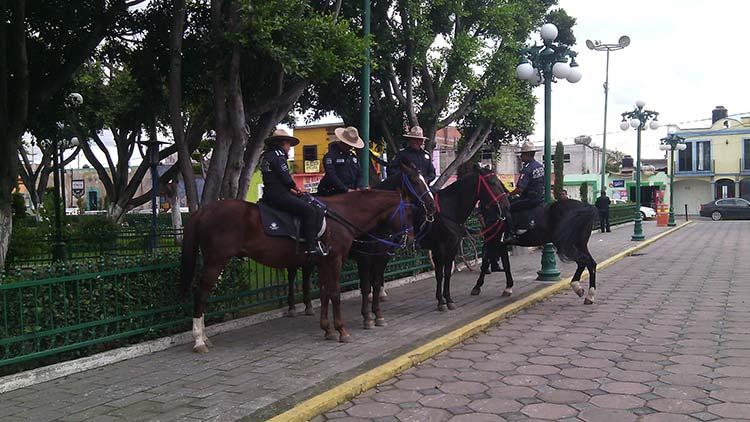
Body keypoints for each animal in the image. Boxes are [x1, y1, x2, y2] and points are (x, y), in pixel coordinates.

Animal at [177, 190, 426, 352]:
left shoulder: (323, 261)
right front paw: (342, 330)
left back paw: (204, 337)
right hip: (215, 261)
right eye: (409, 214)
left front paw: (327, 329)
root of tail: (202, 211)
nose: (409, 239)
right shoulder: (336, 259)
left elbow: (325, 294)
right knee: (201, 293)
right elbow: (335, 293)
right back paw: (199, 340)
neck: (341, 216)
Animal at [470, 198, 600, 304]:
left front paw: (477, 286)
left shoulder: (494, 241)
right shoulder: (499, 244)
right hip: (579, 244)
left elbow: (486, 261)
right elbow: (504, 264)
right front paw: (508, 287)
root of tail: (586, 207)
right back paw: (584, 292)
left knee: (585, 261)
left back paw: (585, 292)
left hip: (566, 244)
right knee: (589, 263)